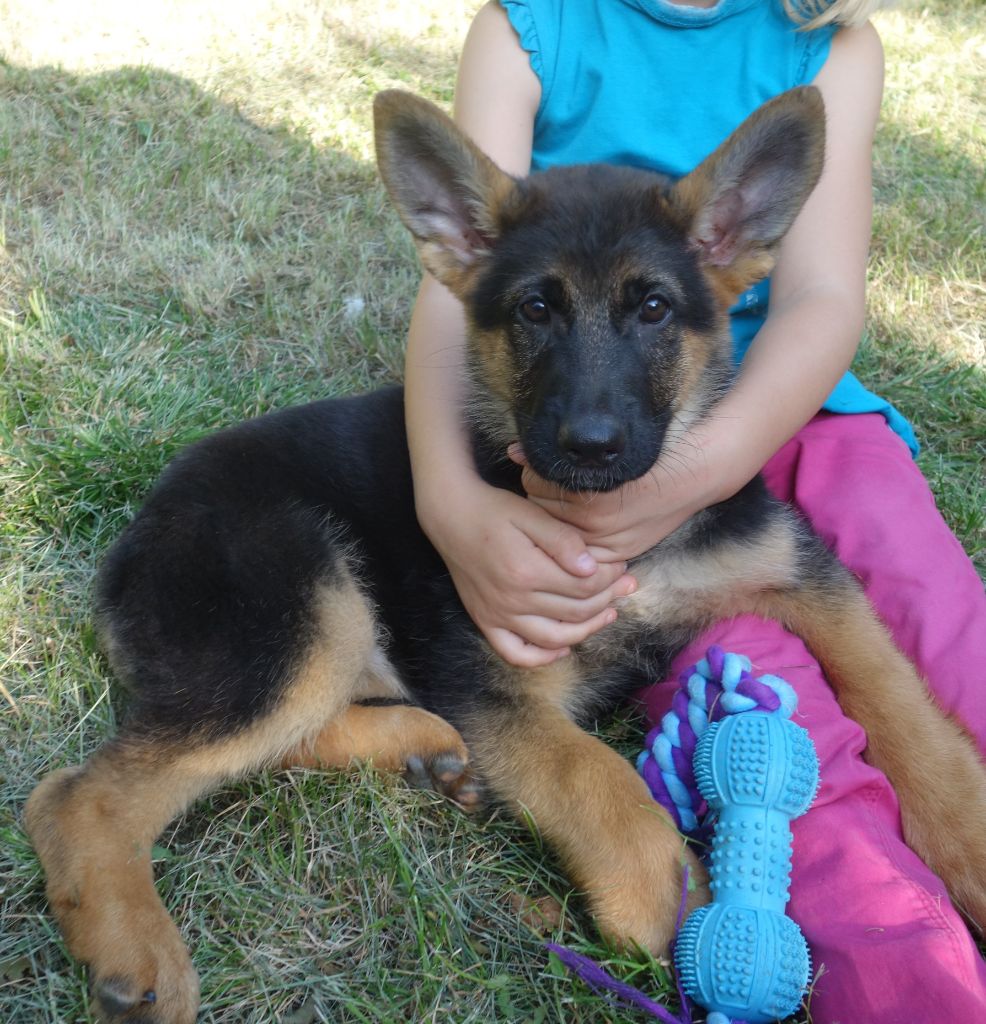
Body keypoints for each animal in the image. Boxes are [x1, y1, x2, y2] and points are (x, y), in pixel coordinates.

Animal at [23, 90, 986, 1024]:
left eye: (653, 309)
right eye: (535, 309)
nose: (590, 446)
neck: (621, 536)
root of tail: (139, 531)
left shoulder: (802, 574)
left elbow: (899, 694)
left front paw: (968, 836)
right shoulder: (493, 671)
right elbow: (593, 773)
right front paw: (673, 898)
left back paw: (426, 750)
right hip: (305, 601)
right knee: (80, 794)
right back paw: (139, 958)